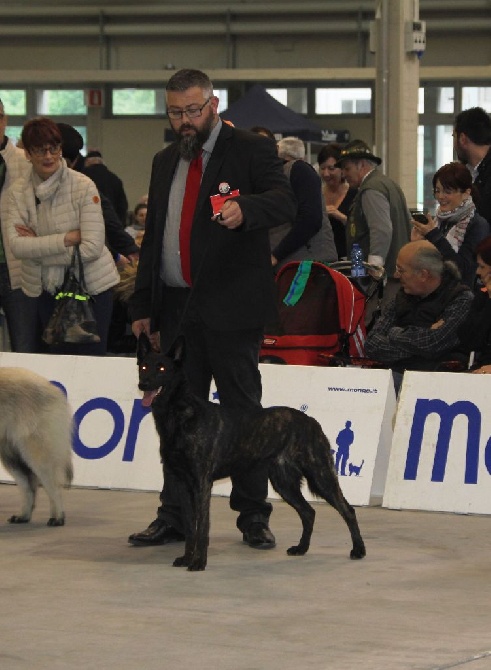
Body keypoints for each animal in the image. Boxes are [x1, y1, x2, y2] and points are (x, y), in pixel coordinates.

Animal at [137, 334, 366, 572]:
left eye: (162, 368)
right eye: (143, 366)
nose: (143, 384)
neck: (180, 415)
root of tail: (311, 421)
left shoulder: (201, 484)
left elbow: (202, 528)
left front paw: (199, 561)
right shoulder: (182, 483)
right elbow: (191, 527)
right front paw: (186, 558)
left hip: (320, 476)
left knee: (347, 510)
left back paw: (358, 550)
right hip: (284, 483)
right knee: (308, 512)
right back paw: (302, 548)